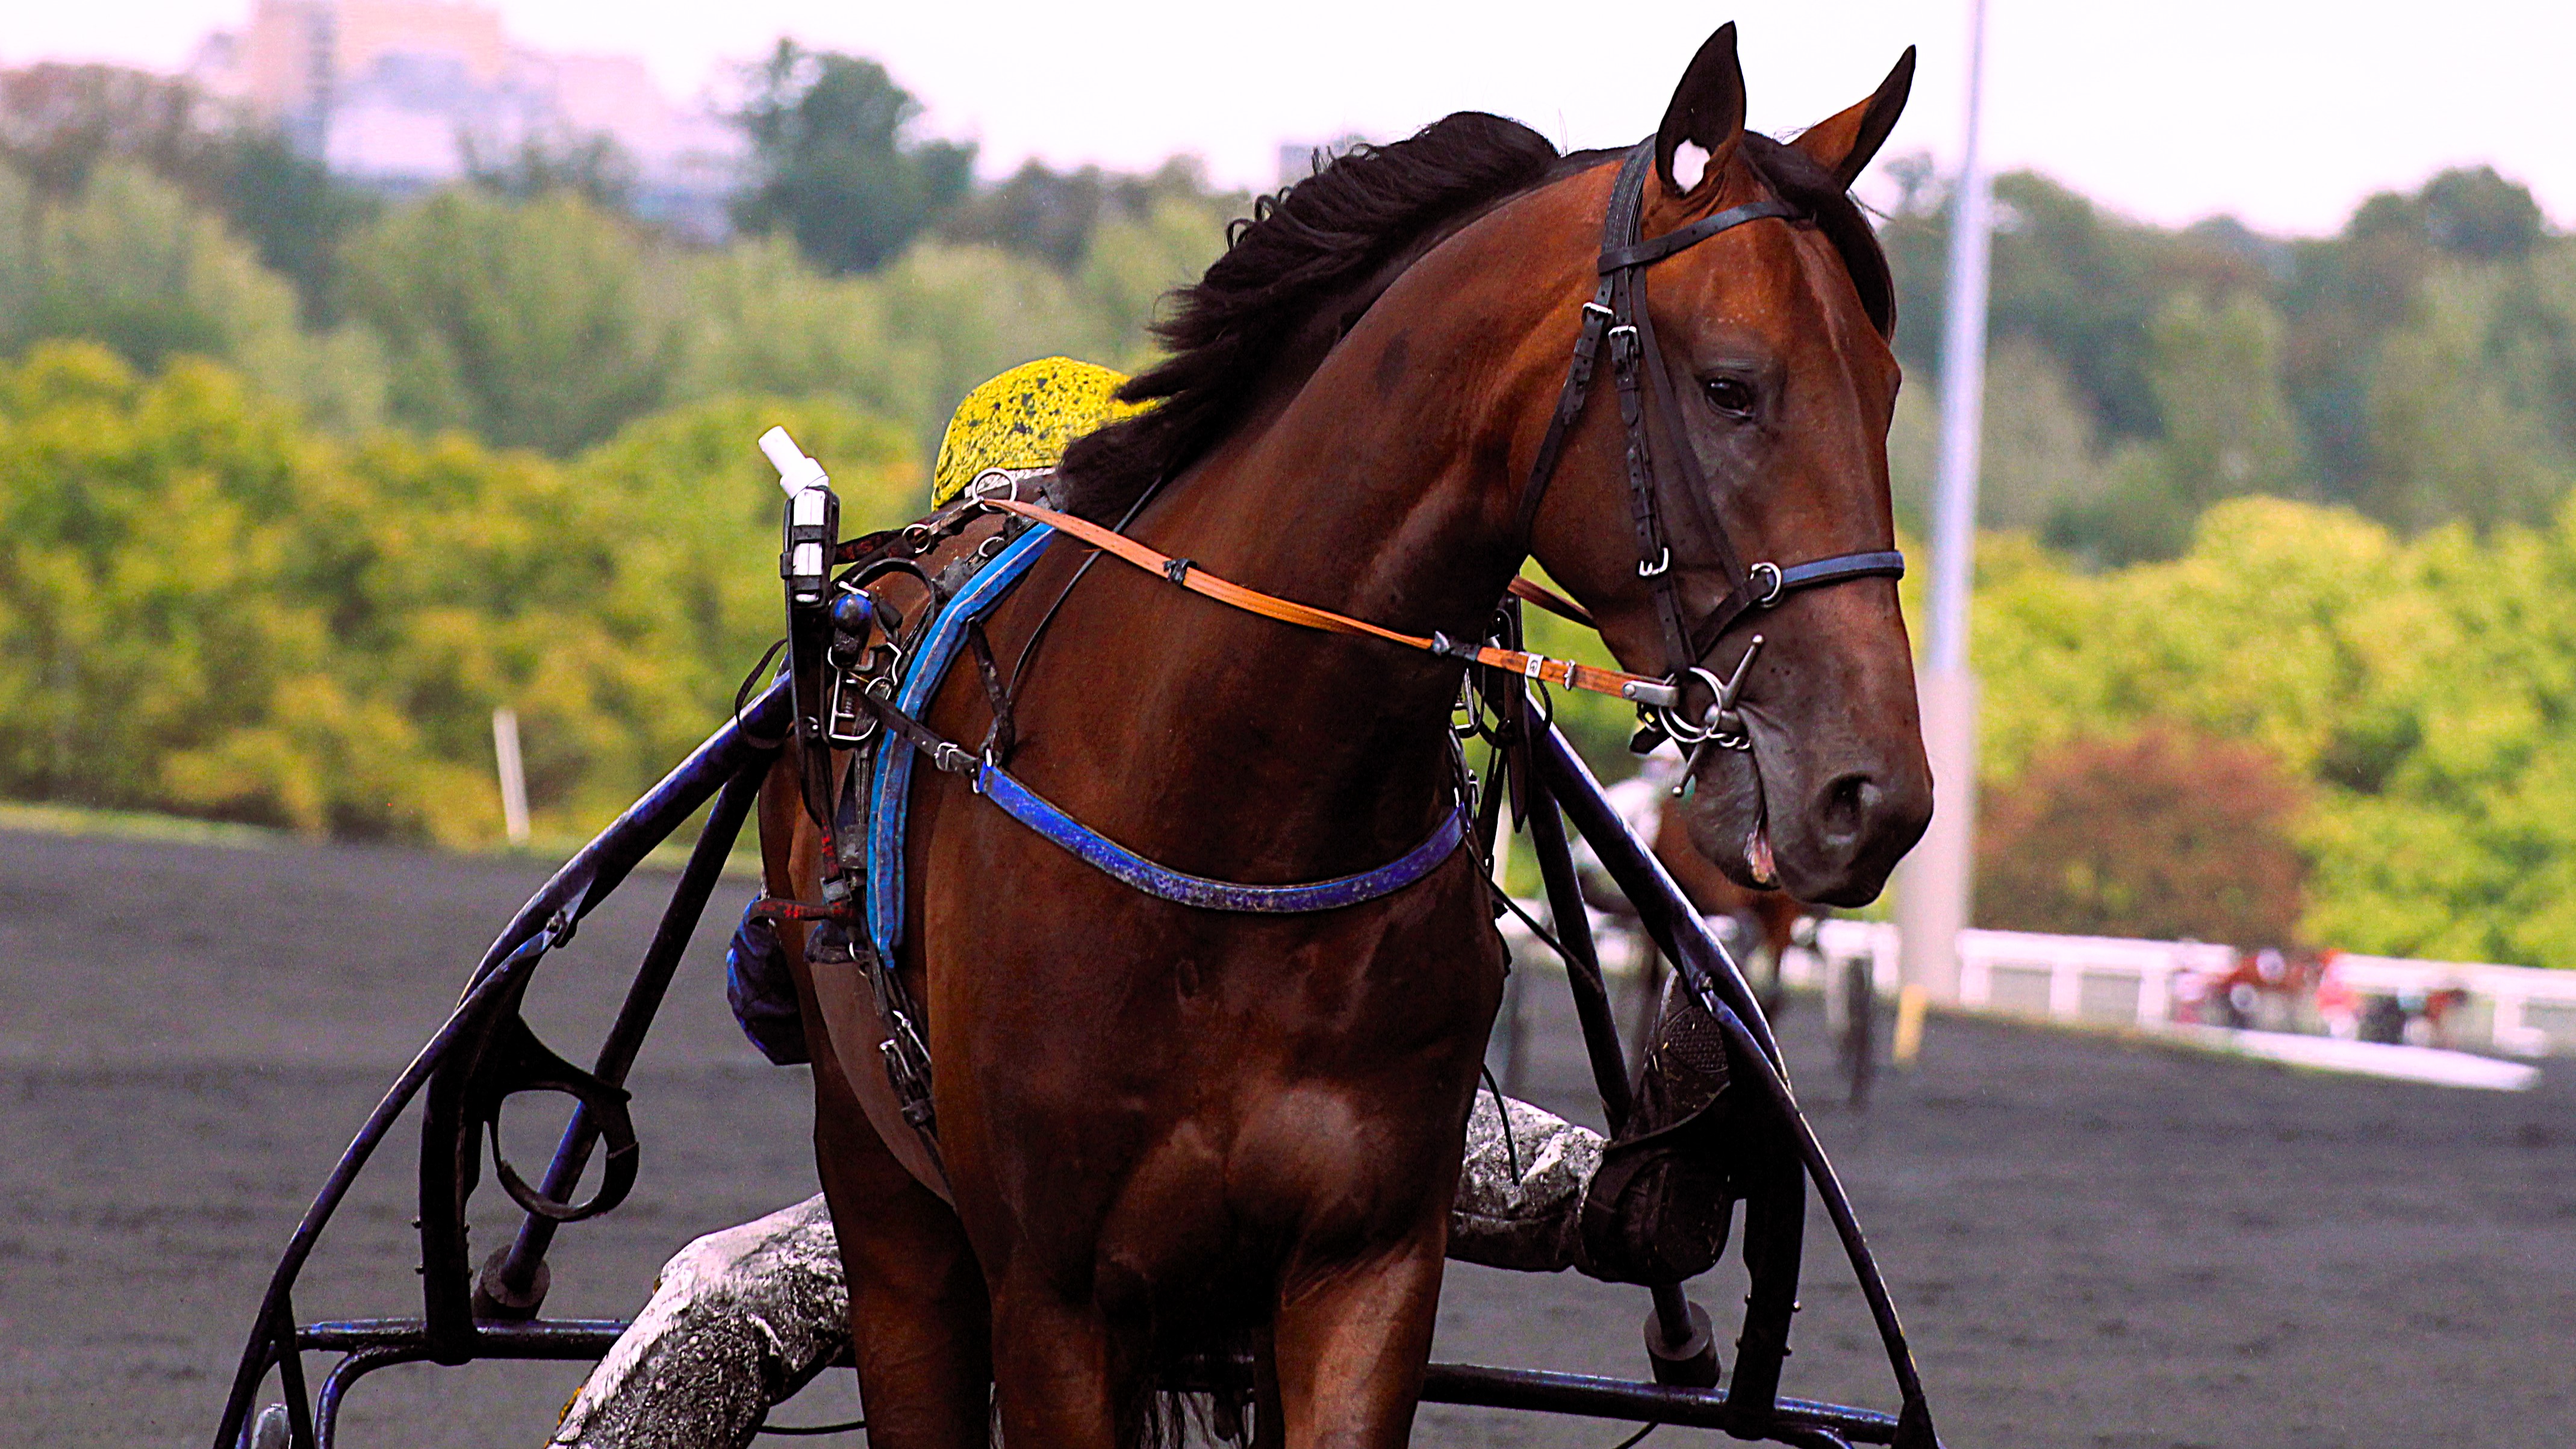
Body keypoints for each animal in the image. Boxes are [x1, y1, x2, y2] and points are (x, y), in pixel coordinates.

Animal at [752, 28, 1926, 1444]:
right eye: (1731, 387)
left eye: (1888, 388)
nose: (1872, 793)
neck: (1238, 812)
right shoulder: (1052, 1297)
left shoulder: (1362, 1263)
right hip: (892, 1220)